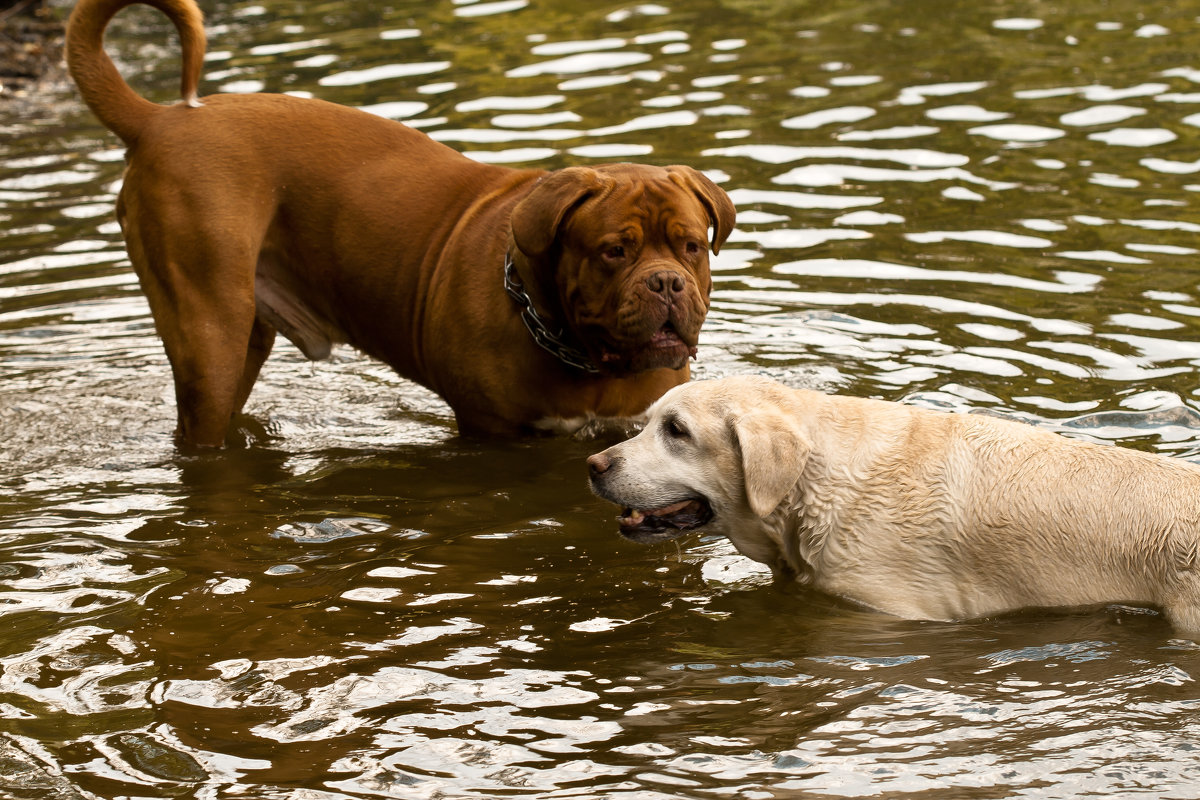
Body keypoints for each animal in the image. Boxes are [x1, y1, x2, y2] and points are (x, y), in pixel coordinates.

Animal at [70, 0, 734, 448]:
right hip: (209, 334)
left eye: (691, 247)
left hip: (240, 340)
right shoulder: (491, 433)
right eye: (613, 251)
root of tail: (159, 119)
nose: (667, 283)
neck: (578, 352)